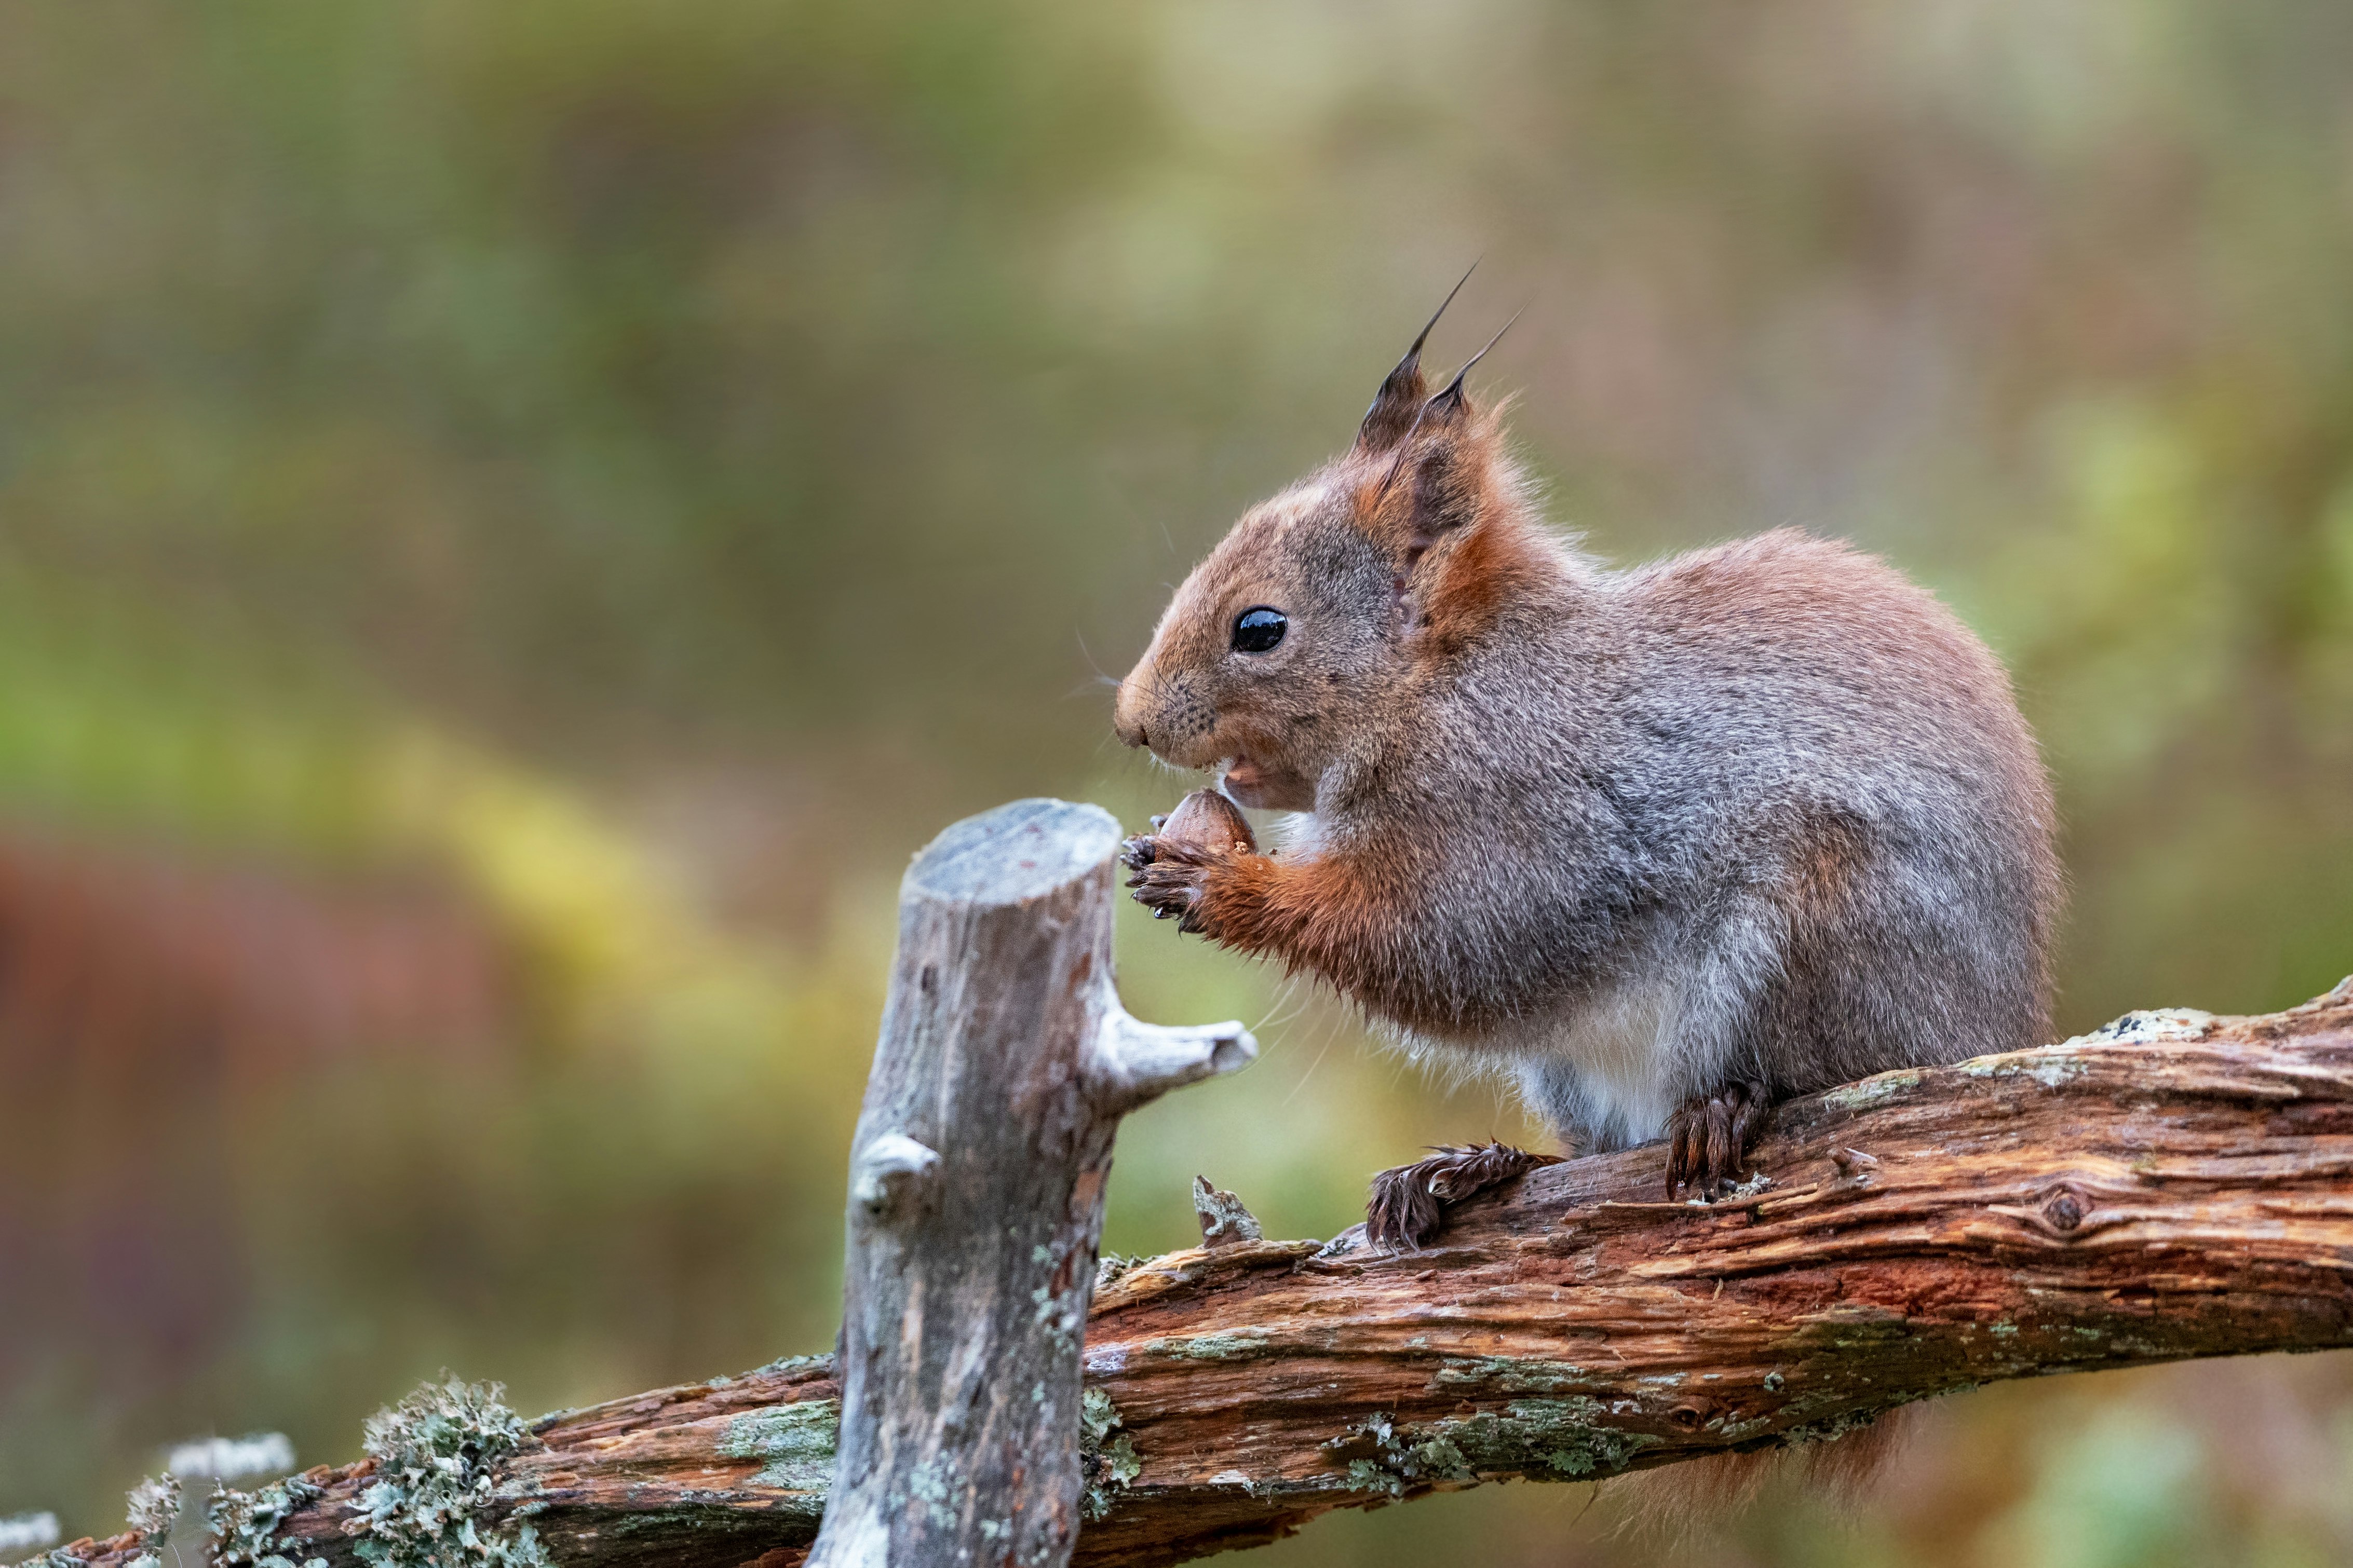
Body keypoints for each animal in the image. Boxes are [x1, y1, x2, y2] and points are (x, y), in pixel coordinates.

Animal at [1111, 288, 2051, 1260]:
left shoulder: (1535, 825)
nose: (1130, 721)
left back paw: (1725, 1109)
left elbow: (1445, 942)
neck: (1444, 686)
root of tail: (1989, 1028)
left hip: (1817, 936)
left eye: (1260, 629)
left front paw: (1217, 883)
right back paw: (1470, 1168)